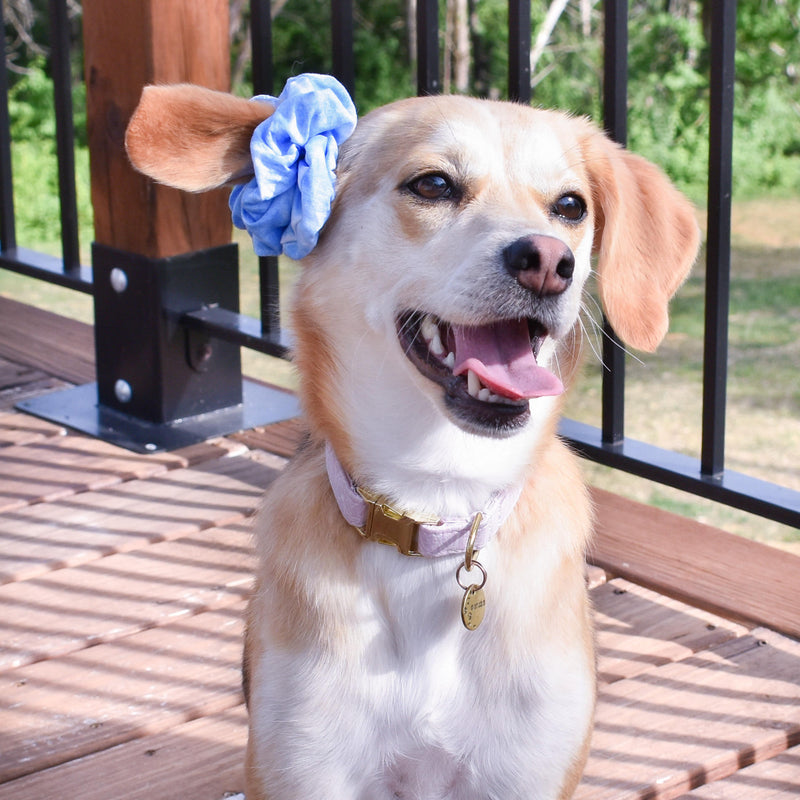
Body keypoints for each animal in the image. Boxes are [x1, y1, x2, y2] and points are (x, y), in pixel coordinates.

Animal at [126, 83, 700, 800]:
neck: (437, 505)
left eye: (570, 206)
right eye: (433, 184)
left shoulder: (525, 769)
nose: (548, 262)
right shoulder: (307, 763)